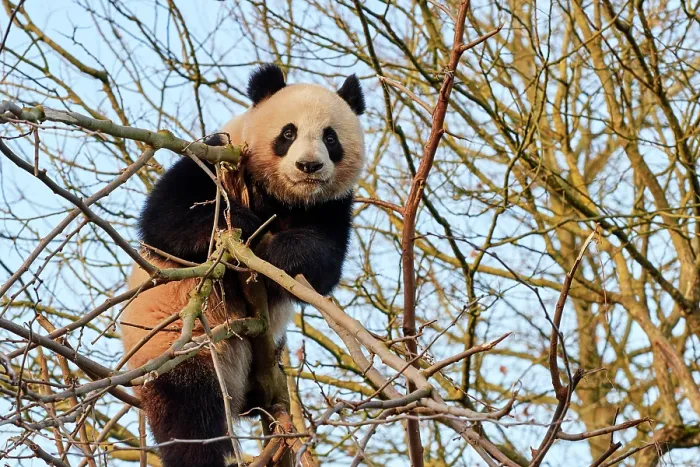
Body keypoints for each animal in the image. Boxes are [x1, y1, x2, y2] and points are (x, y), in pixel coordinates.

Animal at [119, 64, 365, 467]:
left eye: (330, 137)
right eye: (288, 133)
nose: (309, 166)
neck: (284, 196)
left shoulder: (333, 205)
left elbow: (324, 264)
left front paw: (284, 254)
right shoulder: (215, 154)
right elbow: (165, 219)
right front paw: (242, 225)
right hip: (178, 343)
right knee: (189, 410)